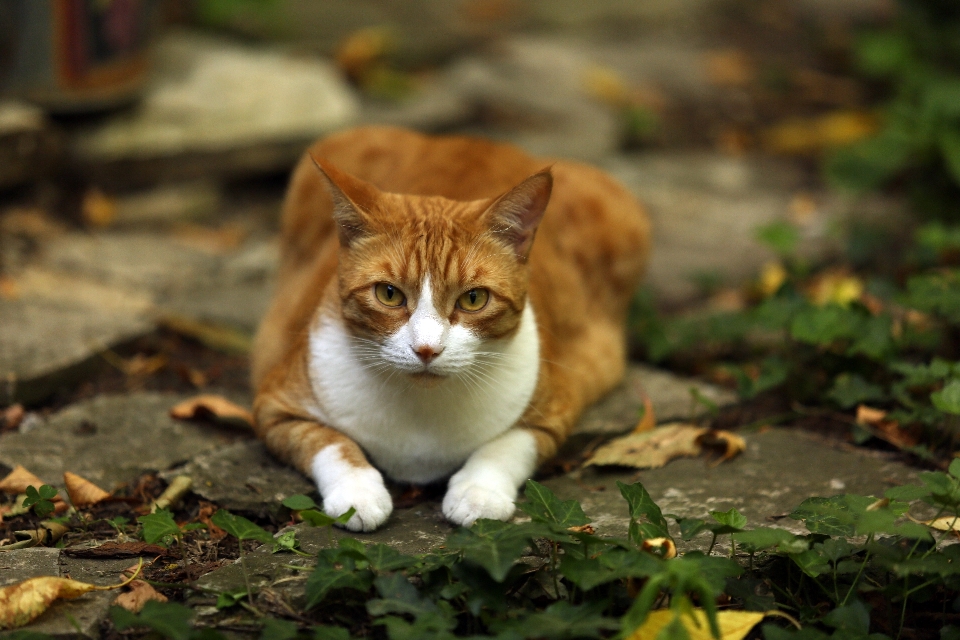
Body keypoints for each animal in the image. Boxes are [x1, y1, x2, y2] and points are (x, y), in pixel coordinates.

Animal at [251, 125, 648, 528]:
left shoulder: (554, 413)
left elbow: (505, 446)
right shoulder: (274, 408)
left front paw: (479, 492)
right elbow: (329, 443)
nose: (427, 349)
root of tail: (472, 139)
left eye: (473, 299)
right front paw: (357, 493)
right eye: (389, 294)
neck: (423, 415)